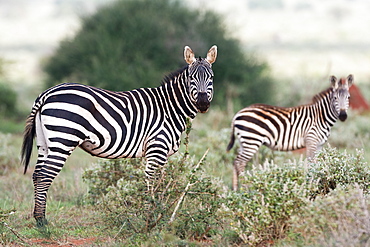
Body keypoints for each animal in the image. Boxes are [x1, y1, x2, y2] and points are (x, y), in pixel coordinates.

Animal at [21, 45, 217, 227]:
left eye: (211, 78)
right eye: (191, 78)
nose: (203, 104)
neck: (169, 108)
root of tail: (46, 94)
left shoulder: (163, 154)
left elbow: (161, 183)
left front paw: (159, 213)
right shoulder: (157, 148)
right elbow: (151, 182)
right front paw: (150, 217)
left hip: (44, 143)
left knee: (37, 175)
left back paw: (39, 218)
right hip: (63, 140)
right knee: (45, 175)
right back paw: (42, 222)